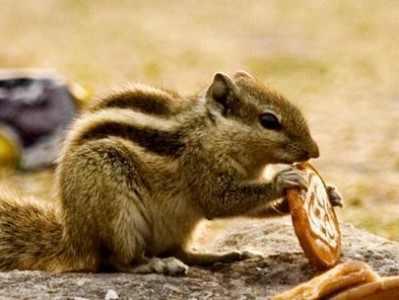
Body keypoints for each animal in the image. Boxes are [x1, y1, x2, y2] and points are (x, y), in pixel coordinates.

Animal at [0, 71, 342, 276]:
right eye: (269, 120)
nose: (315, 152)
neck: (212, 132)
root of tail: (73, 238)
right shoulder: (202, 171)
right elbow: (221, 201)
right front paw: (284, 180)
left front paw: (330, 193)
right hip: (113, 200)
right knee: (116, 262)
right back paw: (156, 266)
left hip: (183, 225)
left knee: (182, 252)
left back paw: (221, 256)